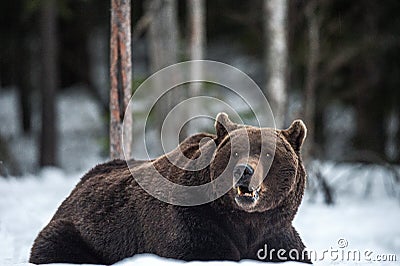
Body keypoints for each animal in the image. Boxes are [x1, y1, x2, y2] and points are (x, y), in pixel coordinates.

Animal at [29, 112, 310, 264]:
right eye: (236, 151)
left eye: (268, 154)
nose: (244, 171)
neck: (244, 222)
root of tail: (77, 185)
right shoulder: (191, 224)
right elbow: (203, 250)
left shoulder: (274, 234)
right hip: (79, 231)